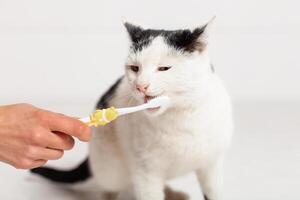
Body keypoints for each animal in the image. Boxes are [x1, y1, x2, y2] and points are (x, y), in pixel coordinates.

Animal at [31, 17, 233, 200]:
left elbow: (213, 193)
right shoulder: (145, 172)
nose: (140, 86)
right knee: (110, 188)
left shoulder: (212, 166)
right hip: (110, 168)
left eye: (164, 68)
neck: (180, 117)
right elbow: (149, 194)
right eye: (135, 68)